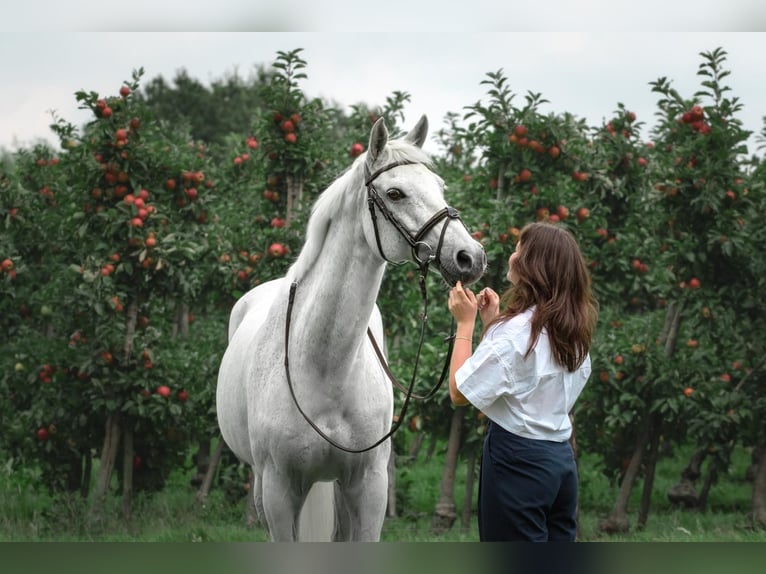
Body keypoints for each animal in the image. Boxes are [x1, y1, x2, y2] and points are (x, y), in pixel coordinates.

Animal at [218, 115, 486, 544]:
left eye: (439, 186)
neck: (324, 367)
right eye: (395, 193)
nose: (470, 257)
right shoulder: (279, 492)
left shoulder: (369, 486)